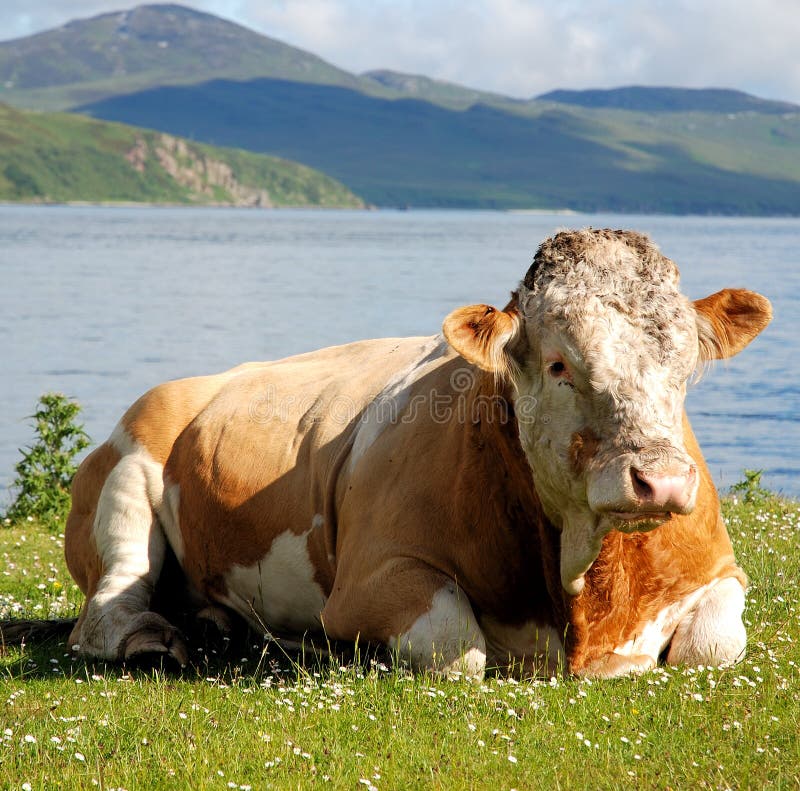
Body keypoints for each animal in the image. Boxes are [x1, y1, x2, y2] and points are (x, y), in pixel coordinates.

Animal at [61, 230, 768, 680]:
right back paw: (152, 641)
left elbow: (713, 643)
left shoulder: (722, 570)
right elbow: (457, 647)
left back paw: (214, 624)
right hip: (127, 469)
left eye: (685, 366)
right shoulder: (373, 576)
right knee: (108, 604)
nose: (662, 482)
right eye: (559, 364)